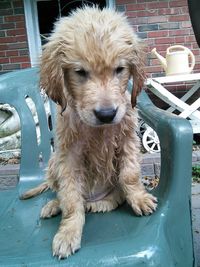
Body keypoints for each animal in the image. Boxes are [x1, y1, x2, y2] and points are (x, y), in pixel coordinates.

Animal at [21, 6, 156, 260]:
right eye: (80, 72)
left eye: (119, 69)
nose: (106, 114)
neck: (98, 130)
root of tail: (92, 199)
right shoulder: (68, 155)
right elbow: (71, 197)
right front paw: (68, 232)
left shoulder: (127, 140)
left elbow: (130, 174)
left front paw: (139, 198)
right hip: (53, 163)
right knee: (66, 196)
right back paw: (54, 205)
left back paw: (103, 202)